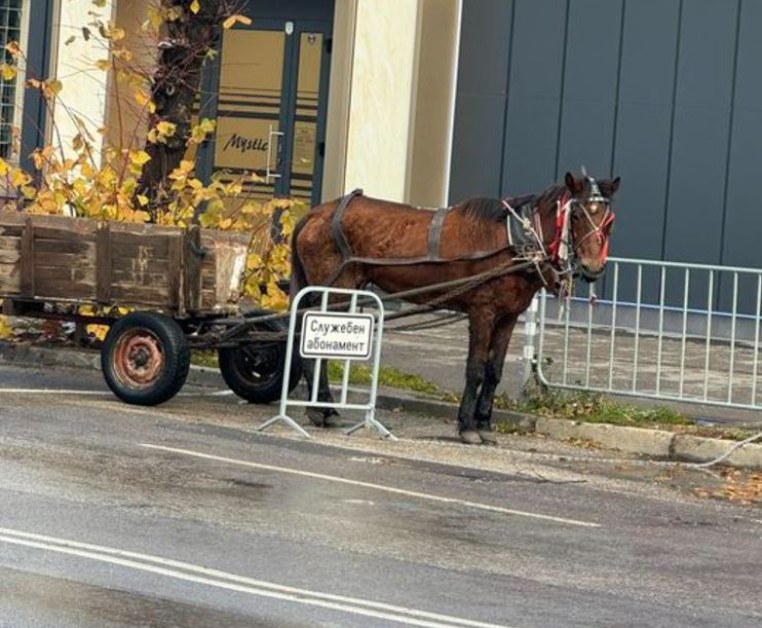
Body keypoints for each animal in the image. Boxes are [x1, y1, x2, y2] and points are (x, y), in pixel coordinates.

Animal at [290, 174, 616, 444]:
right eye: (576, 214)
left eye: (609, 219)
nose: (593, 267)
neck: (516, 241)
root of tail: (316, 213)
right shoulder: (483, 311)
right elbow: (475, 368)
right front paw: (468, 427)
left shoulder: (508, 317)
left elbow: (494, 371)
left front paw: (484, 424)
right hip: (335, 292)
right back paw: (323, 409)